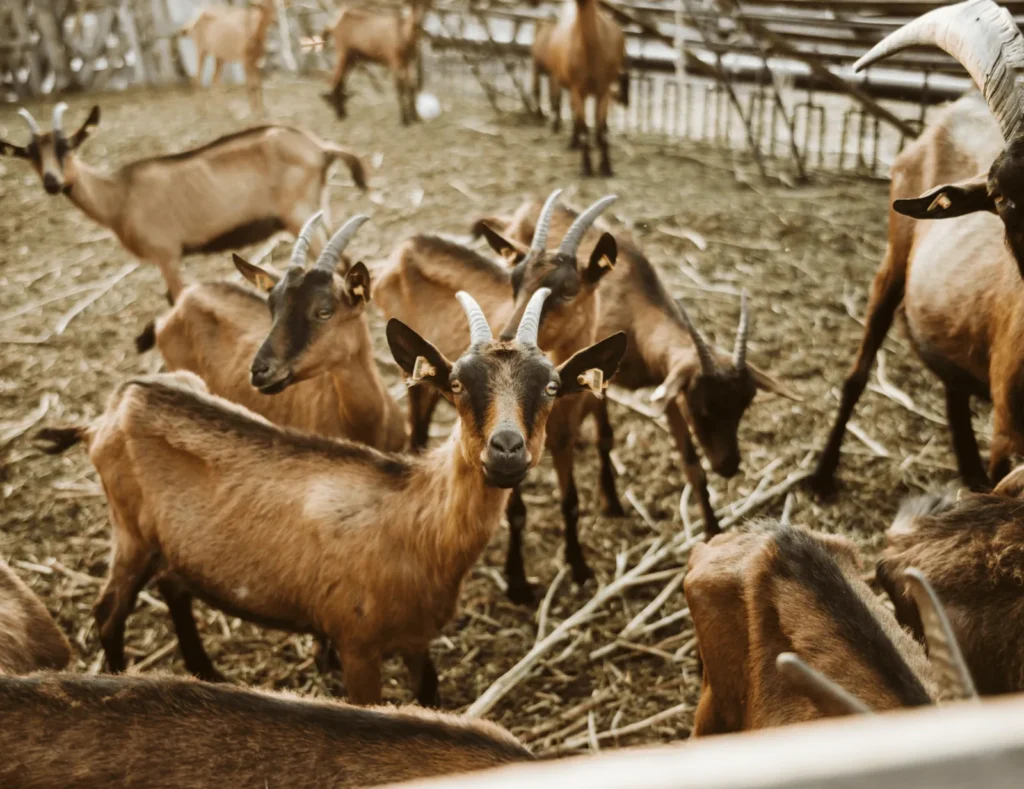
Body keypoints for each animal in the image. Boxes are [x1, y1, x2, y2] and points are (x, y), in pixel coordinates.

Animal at [0, 104, 367, 303]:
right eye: (30, 154)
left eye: (67, 146)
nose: (51, 182)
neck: (119, 195)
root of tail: (320, 147)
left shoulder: (167, 254)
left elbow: (178, 299)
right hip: (319, 209)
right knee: (345, 260)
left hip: (299, 213)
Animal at [36, 291, 626, 703]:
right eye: (457, 384)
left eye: (551, 386)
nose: (506, 450)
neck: (416, 521)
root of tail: (113, 409)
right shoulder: (356, 643)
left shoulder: (417, 639)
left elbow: (429, 697)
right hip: (129, 531)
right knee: (108, 613)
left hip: (170, 542)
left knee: (174, 587)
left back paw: (207, 671)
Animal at [375, 191, 621, 603]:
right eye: (514, 282)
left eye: (569, 289)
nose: (505, 337)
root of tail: (405, 247)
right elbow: (516, 512)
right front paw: (518, 581)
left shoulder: (560, 435)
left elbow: (570, 503)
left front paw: (580, 568)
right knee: (418, 425)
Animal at [471, 198, 799, 538]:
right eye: (701, 409)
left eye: (743, 405)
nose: (729, 465)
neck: (633, 307)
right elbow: (605, 436)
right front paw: (611, 501)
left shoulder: (667, 385)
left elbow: (692, 464)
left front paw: (713, 530)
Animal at [545, 0, 626, 176]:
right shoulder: (577, 89)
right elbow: (584, 128)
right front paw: (586, 167)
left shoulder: (604, 90)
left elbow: (602, 131)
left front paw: (606, 167)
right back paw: (573, 142)